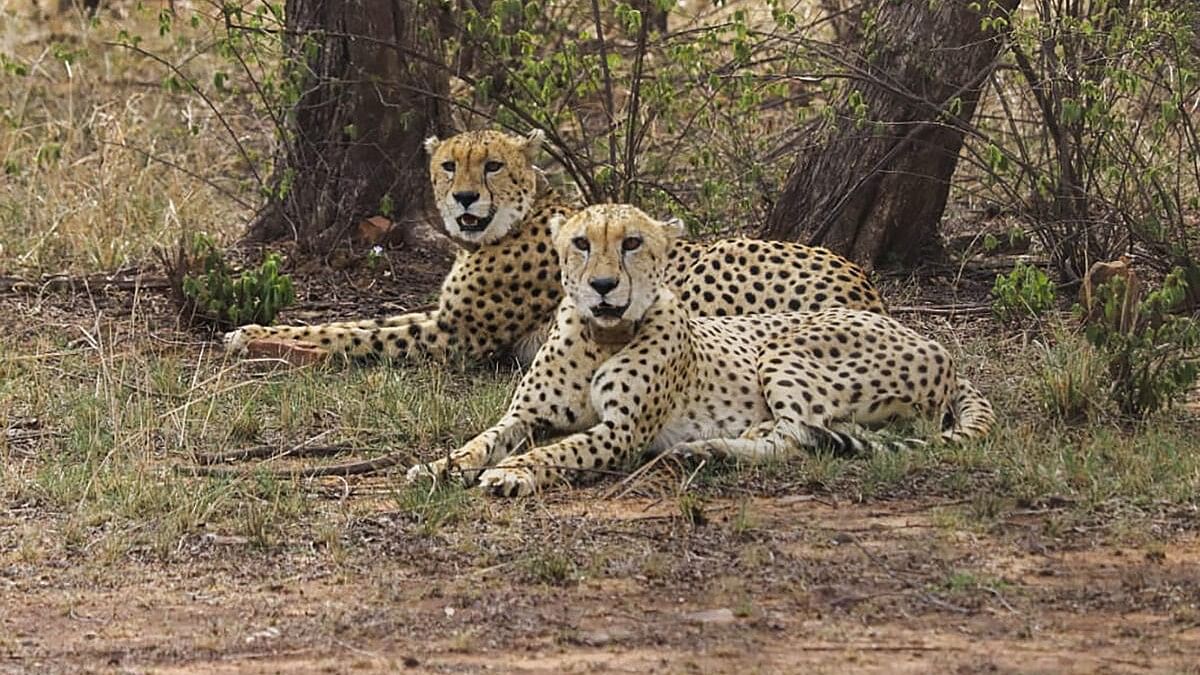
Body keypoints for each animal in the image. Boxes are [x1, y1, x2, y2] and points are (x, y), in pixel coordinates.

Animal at [225, 129, 888, 365]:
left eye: (492, 165)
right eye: (449, 165)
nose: (464, 199)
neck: (511, 224)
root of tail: (865, 284)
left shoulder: (457, 336)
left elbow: (353, 334)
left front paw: (261, 341)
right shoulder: (444, 317)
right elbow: (358, 320)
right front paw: (256, 331)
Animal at [408, 205, 998, 494]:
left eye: (632, 243)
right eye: (581, 243)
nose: (603, 286)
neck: (601, 336)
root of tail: (934, 343)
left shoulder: (621, 432)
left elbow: (560, 450)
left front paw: (513, 473)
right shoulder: (526, 415)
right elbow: (483, 439)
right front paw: (441, 466)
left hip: (782, 349)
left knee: (798, 437)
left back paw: (712, 447)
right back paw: (706, 449)